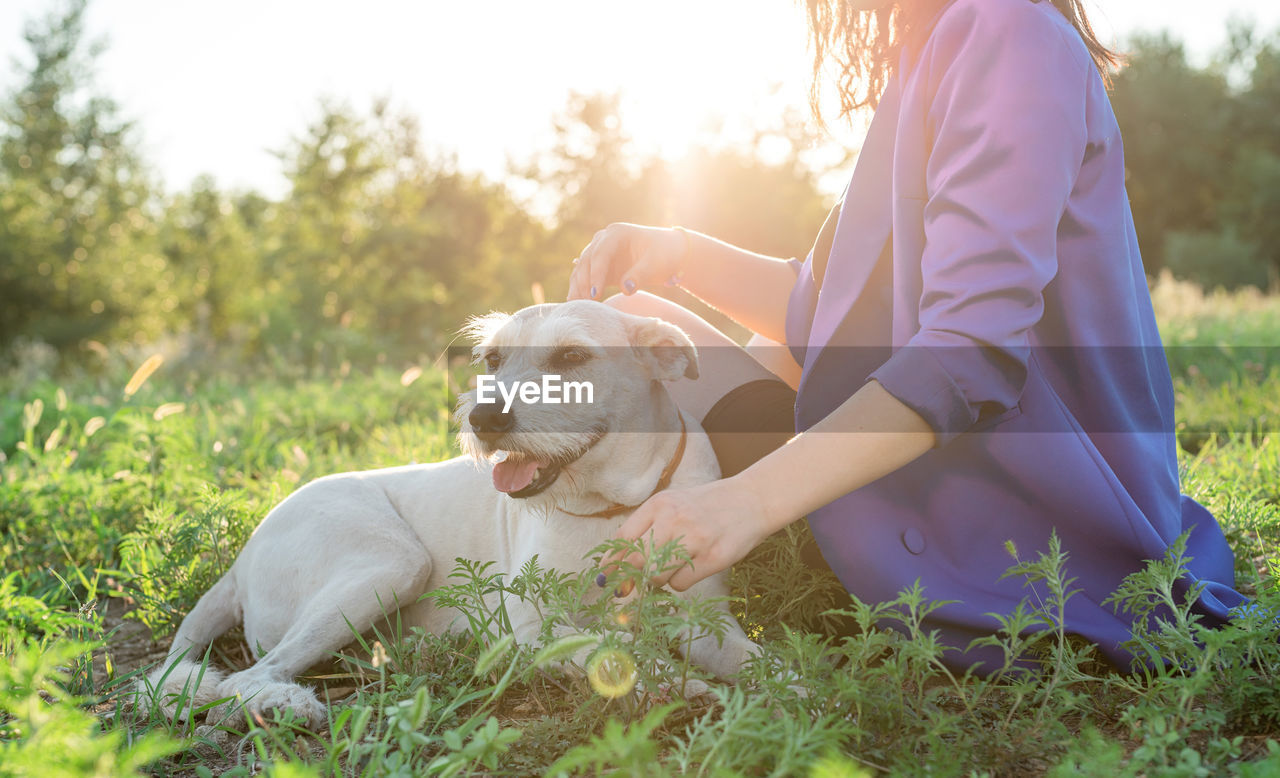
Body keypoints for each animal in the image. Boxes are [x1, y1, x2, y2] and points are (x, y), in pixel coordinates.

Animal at [142, 300, 757, 726]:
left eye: (573, 356)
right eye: (493, 359)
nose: (483, 417)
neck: (617, 503)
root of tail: (240, 559)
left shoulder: (707, 621)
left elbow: (758, 663)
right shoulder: (528, 628)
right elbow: (604, 646)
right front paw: (668, 682)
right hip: (393, 564)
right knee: (244, 678)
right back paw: (286, 703)